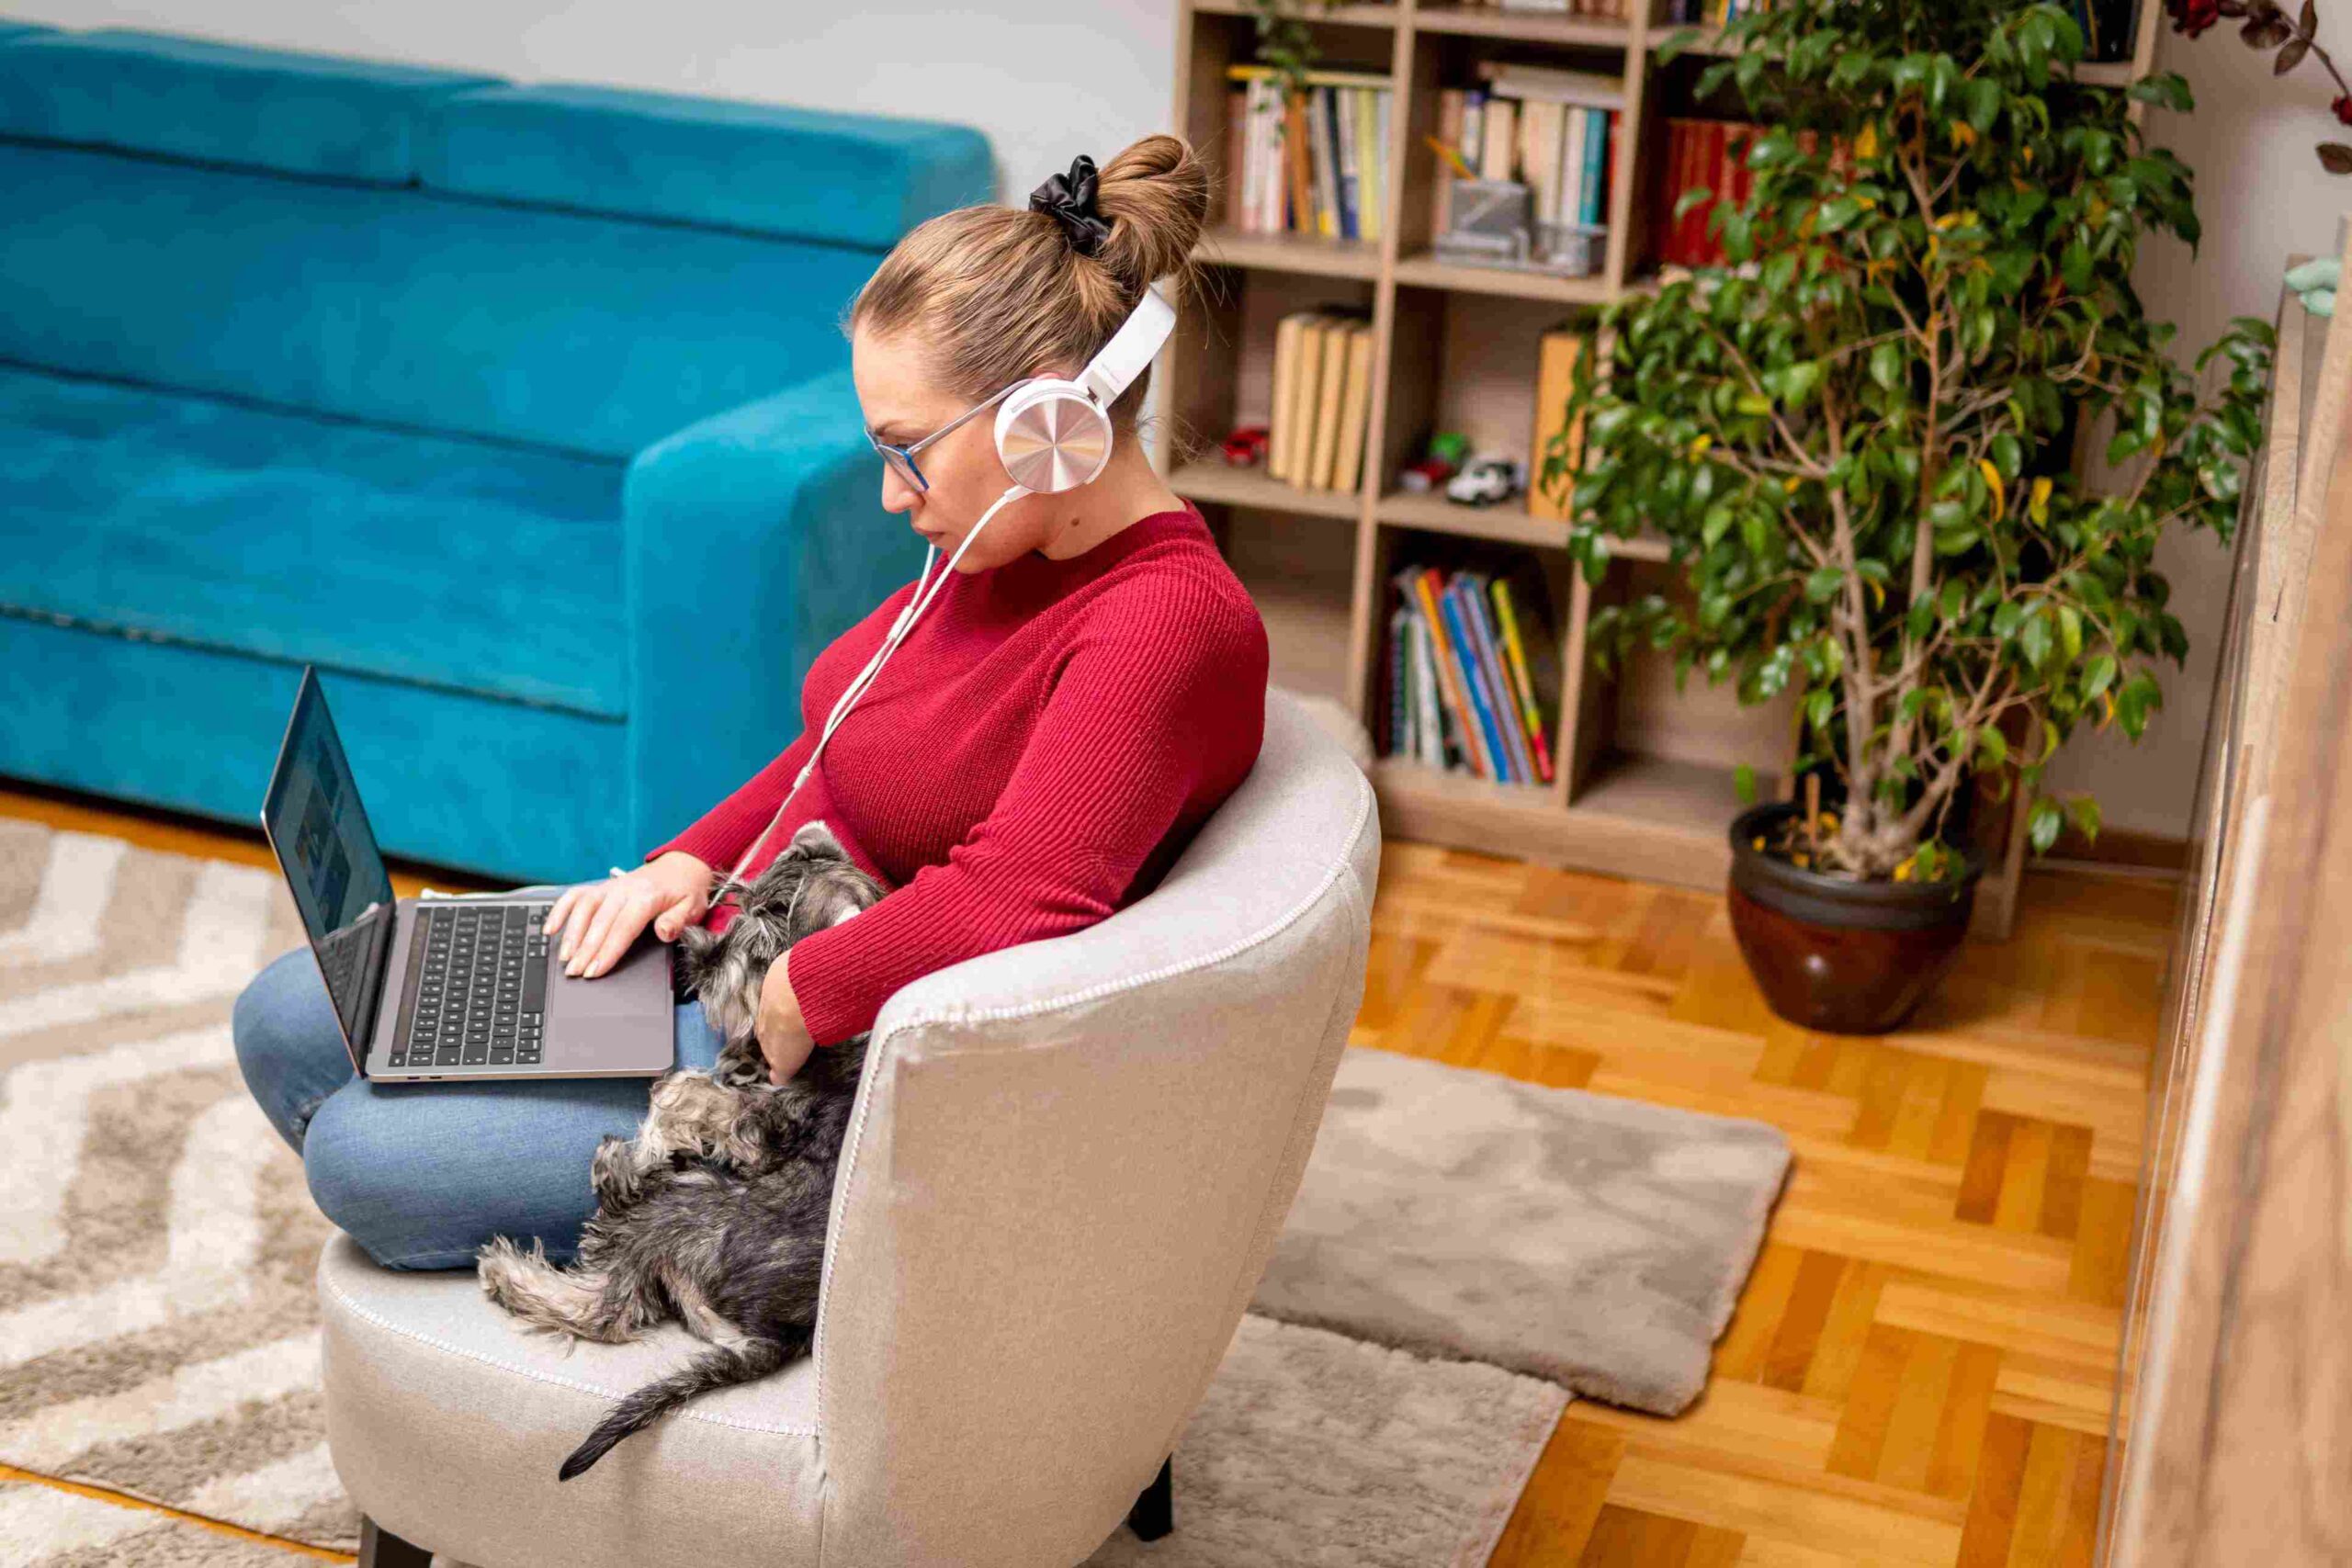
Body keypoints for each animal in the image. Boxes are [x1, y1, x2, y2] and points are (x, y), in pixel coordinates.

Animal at [472, 822, 884, 1485]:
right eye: (738, 903)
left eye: (762, 937)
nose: (693, 954)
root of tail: (785, 1335)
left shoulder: (758, 1126)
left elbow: (679, 1089)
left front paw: (651, 1139)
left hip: (680, 1210)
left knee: (607, 1303)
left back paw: (526, 1253)